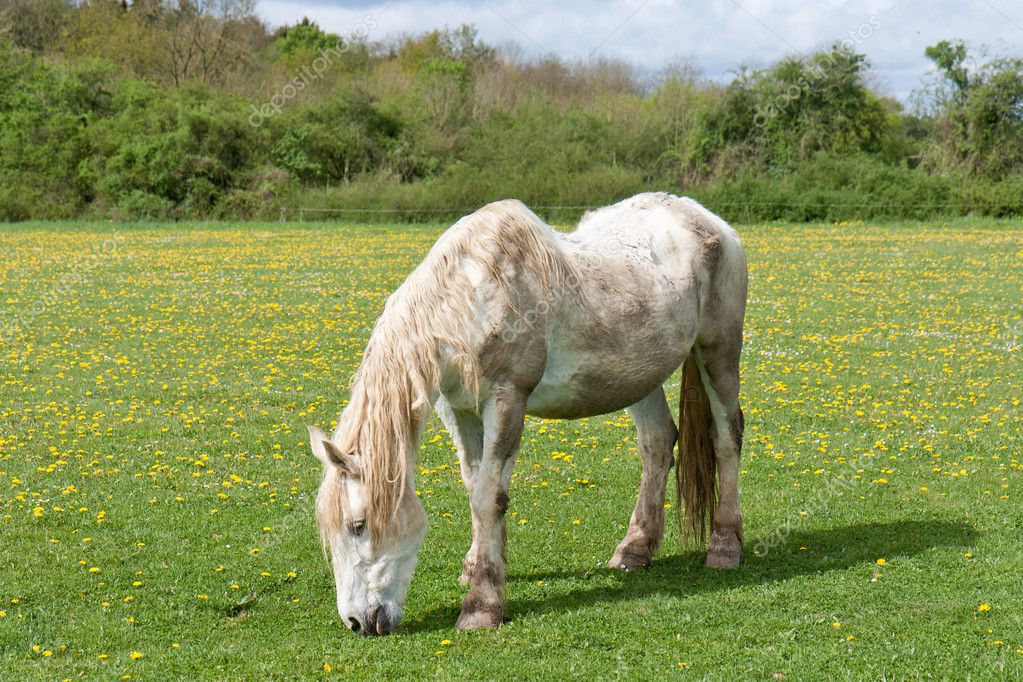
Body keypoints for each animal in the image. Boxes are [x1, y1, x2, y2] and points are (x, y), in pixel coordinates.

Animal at [306, 192, 748, 633]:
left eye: (358, 525)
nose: (358, 622)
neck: (472, 302)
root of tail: (711, 221)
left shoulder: (506, 400)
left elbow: (489, 496)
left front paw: (482, 605)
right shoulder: (458, 409)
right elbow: (475, 485)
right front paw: (480, 566)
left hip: (718, 353)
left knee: (727, 436)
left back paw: (724, 547)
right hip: (641, 377)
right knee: (657, 443)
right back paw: (635, 550)